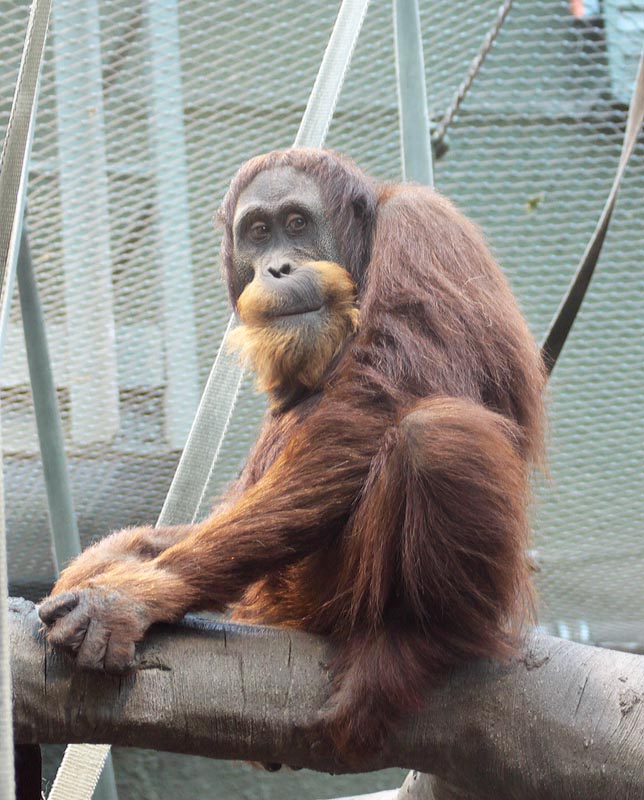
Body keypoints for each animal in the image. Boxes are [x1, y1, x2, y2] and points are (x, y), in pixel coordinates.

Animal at [39, 147, 545, 759]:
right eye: (259, 232)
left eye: (298, 223)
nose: (278, 268)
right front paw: (116, 558)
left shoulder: (421, 230)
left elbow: (374, 406)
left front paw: (133, 596)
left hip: (337, 592)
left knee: (438, 434)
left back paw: (415, 643)